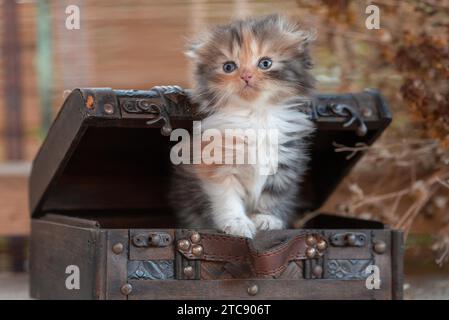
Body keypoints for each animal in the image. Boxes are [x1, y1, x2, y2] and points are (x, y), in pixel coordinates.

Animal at [170, 15, 314, 239]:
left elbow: (274, 194)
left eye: (265, 63)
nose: (246, 76)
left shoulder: (285, 162)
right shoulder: (216, 163)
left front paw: (266, 218)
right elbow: (227, 198)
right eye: (229, 67)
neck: (254, 114)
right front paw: (237, 223)